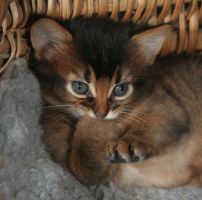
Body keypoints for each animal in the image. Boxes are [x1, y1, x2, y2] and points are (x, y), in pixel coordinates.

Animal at [29, 16, 202, 188]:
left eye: (121, 89)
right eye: (79, 87)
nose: (101, 113)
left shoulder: (169, 107)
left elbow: (160, 122)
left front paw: (128, 142)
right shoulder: (66, 160)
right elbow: (83, 164)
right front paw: (97, 127)